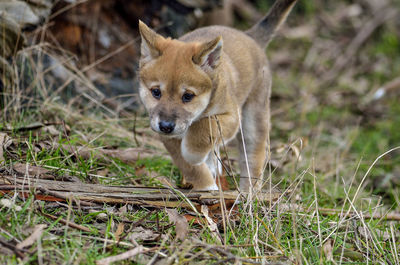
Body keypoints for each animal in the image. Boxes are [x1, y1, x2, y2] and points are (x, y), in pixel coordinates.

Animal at [138, 0, 296, 190]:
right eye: (156, 92)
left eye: (188, 96)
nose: (166, 126)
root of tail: (249, 36)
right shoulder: (169, 139)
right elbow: (189, 166)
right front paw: (206, 186)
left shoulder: (231, 117)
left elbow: (204, 128)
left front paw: (194, 154)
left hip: (254, 119)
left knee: (254, 160)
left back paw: (248, 192)